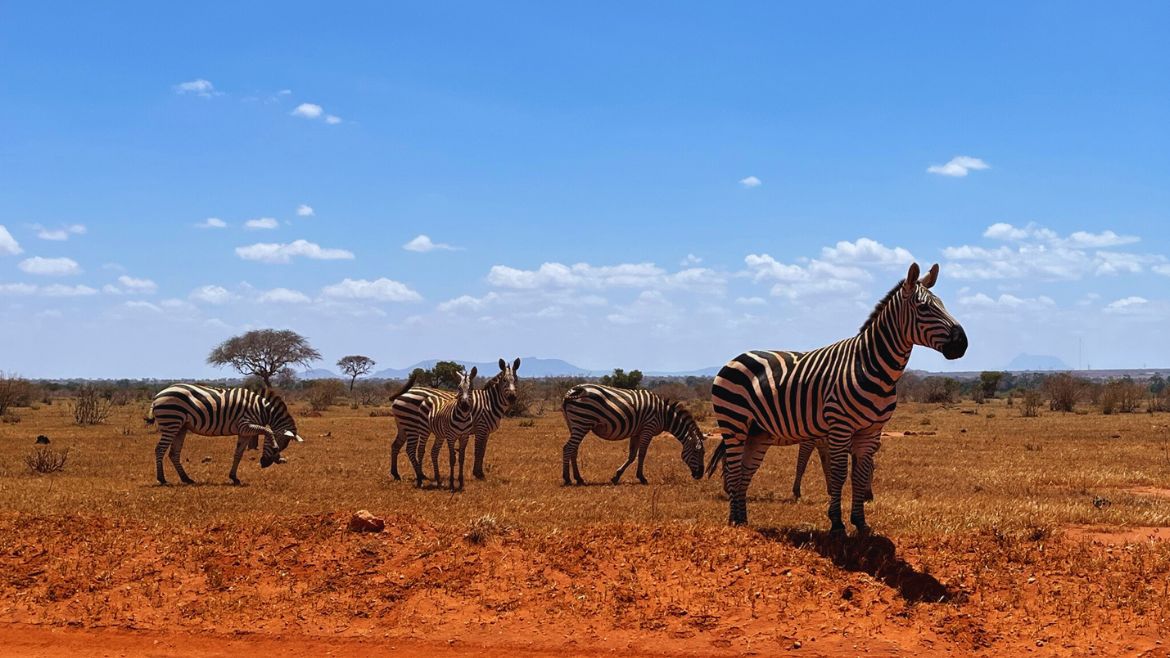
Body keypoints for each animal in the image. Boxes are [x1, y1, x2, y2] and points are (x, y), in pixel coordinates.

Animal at [145, 383, 303, 485]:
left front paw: (234, 478)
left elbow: (238, 454)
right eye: (280, 444)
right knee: (160, 449)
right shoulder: (246, 425)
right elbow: (269, 430)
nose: (265, 464)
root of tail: (157, 396)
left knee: (174, 453)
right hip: (171, 422)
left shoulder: (244, 431)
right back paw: (162, 479)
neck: (261, 409)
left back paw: (186, 479)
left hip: (181, 427)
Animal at [390, 357, 521, 482]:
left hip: (403, 426)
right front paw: (478, 474)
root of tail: (404, 393)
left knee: (395, 445)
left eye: (516, 380)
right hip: (412, 425)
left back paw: (396, 474)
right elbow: (478, 451)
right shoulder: (481, 428)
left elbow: (483, 451)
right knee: (410, 449)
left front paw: (480, 473)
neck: (489, 402)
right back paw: (420, 475)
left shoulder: (486, 432)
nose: (512, 397)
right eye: (504, 380)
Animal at [560, 383, 706, 485]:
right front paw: (642, 478)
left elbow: (631, 455)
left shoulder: (636, 432)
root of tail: (573, 390)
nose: (700, 475)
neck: (665, 415)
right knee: (568, 448)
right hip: (582, 421)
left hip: (574, 424)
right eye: (697, 451)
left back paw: (579, 478)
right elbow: (641, 454)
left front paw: (616, 476)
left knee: (574, 449)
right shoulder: (648, 428)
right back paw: (567, 479)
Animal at [707, 263, 967, 534]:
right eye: (924, 307)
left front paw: (861, 523)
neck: (871, 366)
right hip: (734, 423)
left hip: (758, 433)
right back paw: (734, 521)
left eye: (943, 305)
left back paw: (743, 520)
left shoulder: (870, 431)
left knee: (745, 472)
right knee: (733, 470)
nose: (962, 343)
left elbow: (860, 476)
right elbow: (839, 474)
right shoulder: (840, 426)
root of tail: (735, 358)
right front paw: (837, 523)